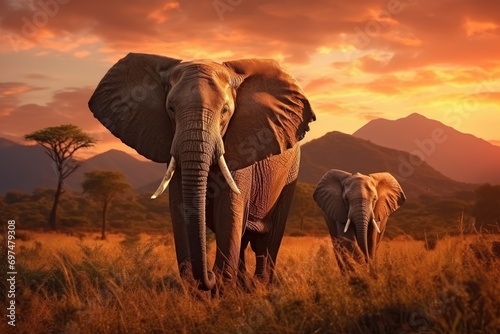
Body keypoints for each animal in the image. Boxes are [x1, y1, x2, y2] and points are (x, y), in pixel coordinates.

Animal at [88, 53, 314, 290]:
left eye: (225, 111)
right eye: (171, 109)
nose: (209, 274)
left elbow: (228, 210)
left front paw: (221, 286)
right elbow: (179, 208)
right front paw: (198, 288)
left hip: (291, 171)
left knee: (267, 238)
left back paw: (259, 286)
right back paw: (243, 285)